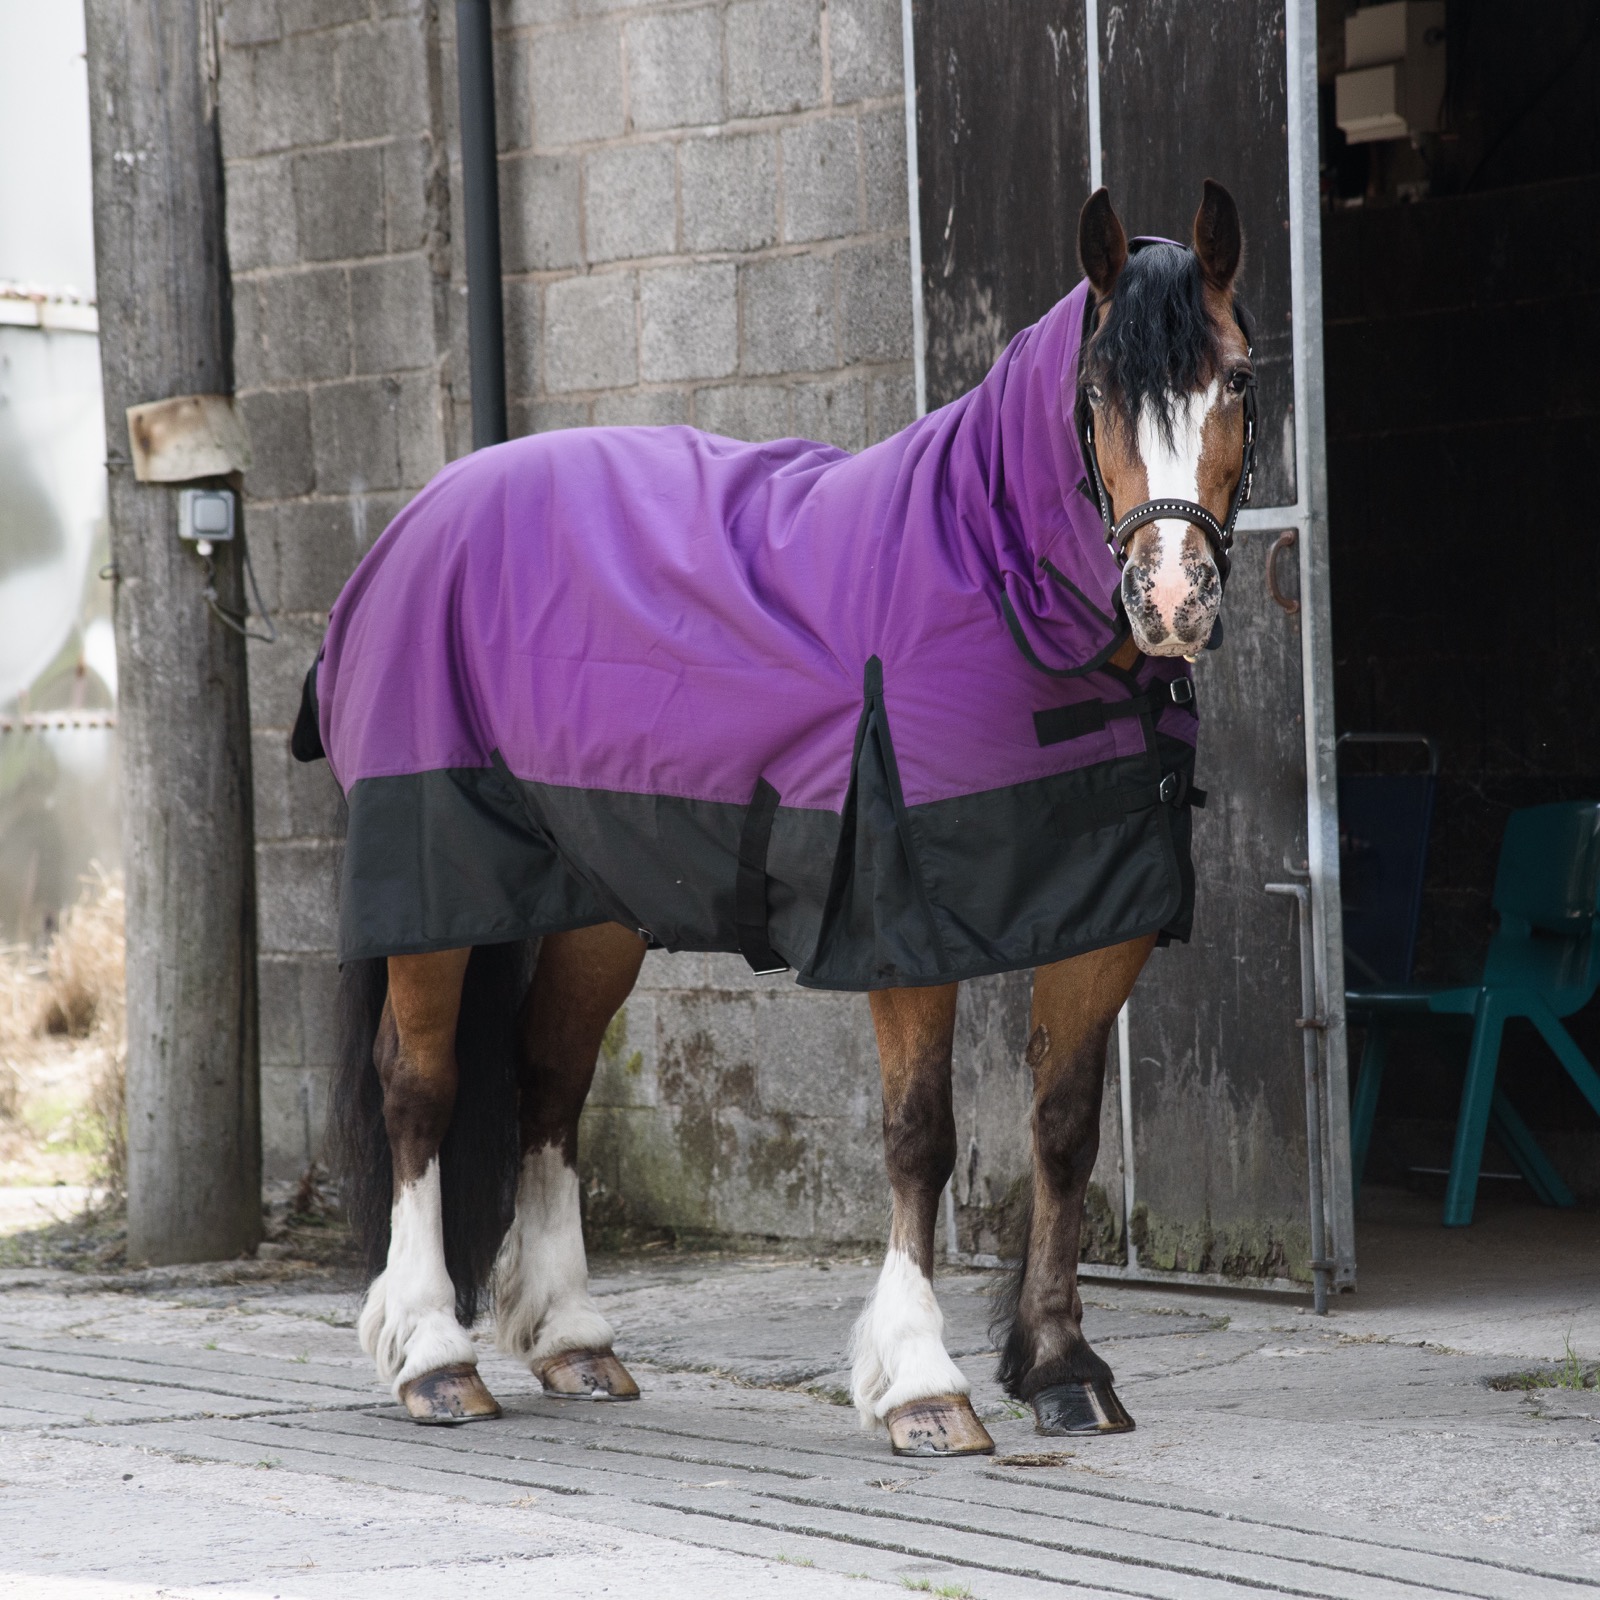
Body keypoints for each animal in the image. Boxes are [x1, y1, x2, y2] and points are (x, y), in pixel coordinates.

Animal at [295, 181, 1256, 1455]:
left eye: (1236, 378)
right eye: (1098, 393)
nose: (1170, 598)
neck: (992, 579)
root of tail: (417, 519)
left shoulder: (1102, 922)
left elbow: (1063, 1130)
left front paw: (1060, 1365)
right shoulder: (903, 930)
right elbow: (919, 1136)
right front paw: (922, 1383)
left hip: (596, 901)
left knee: (549, 1081)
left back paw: (572, 1338)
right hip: (436, 884)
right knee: (421, 1085)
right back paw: (433, 1356)